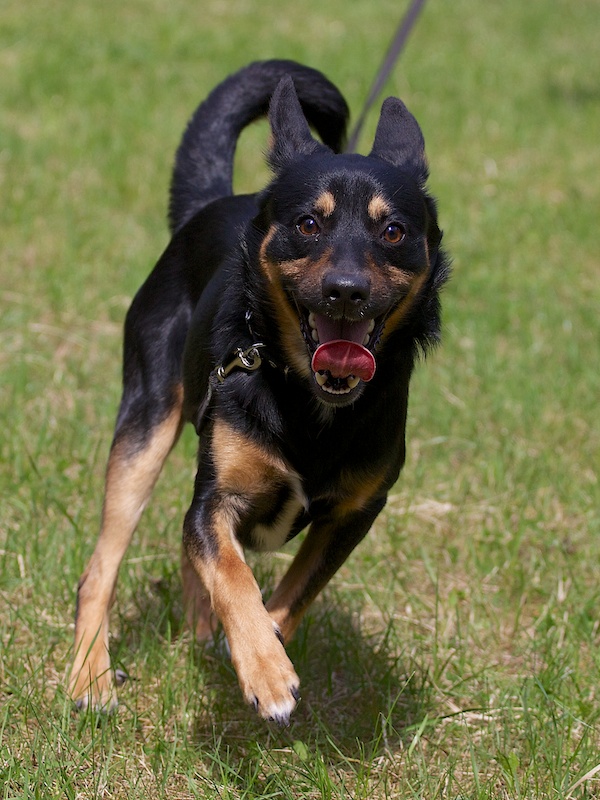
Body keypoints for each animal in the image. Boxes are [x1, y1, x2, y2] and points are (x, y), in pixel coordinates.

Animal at [69, 59, 449, 724]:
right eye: (308, 223)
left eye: (394, 231)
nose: (345, 290)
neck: (310, 400)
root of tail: (207, 207)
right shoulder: (215, 501)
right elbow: (229, 568)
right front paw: (266, 673)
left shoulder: (356, 512)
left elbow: (296, 591)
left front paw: (259, 647)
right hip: (144, 425)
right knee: (102, 568)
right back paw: (90, 674)